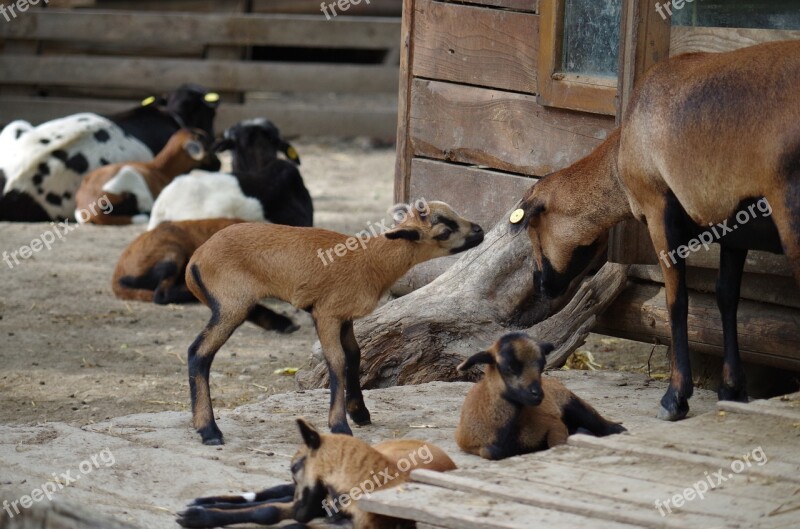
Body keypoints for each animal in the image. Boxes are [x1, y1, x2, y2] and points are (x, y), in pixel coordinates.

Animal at [180, 416, 456, 528]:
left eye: (295, 466)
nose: (301, 512)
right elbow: (267, 510)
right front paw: (198, 515)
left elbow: (272, 513)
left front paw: (199, 515)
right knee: (277, 492)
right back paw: (203, 502)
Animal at [184, 200, 484, 444]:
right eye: (444, 231)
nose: (480, 231)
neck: (372, 259)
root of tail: (195, 259)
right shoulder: (326, 313)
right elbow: (337, 362)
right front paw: (340, 426)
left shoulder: (345, 316)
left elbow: (354, 355)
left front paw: (359, 412)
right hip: (231, 305)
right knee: (199, 352)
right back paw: (209, 431)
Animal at [456, 330, 624, 458]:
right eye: (508, 367)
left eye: (542, 365)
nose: (537, 395)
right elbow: (491, 452)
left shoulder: (554, 423)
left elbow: (557, 443)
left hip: (573, 403)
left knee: (603, 425)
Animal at [516, 40, 796, 420]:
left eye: (533, 229)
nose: (539, 283)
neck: (620, 158)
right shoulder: (729, 224)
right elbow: (726, 296)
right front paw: (732, 389)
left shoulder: (659, 209)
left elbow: (676, 300)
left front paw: (675, 397)